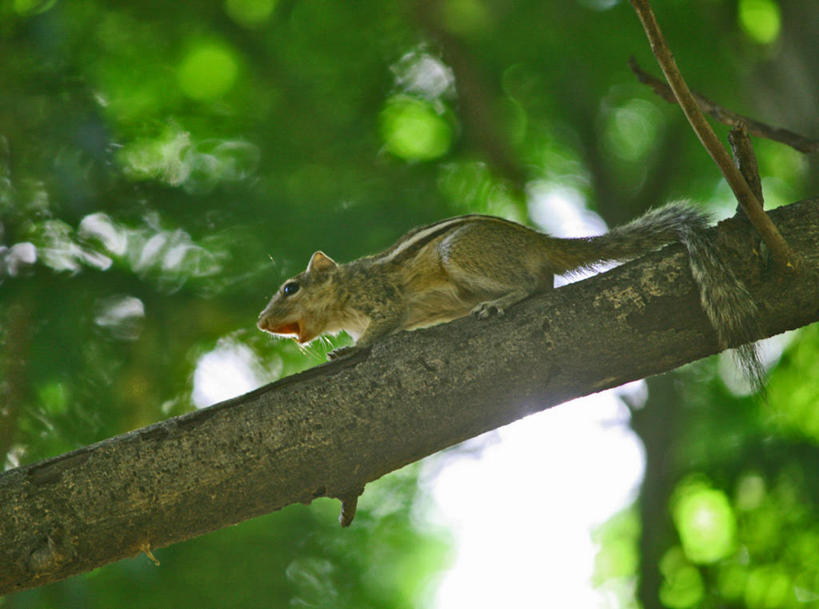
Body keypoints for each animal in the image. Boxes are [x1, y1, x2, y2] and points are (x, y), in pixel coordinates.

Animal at [260, 202, 764, 388]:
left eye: (290, 288)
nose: (262, 322)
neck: (346, 289)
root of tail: (540, 242)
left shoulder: (381, 297)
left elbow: (381, 327)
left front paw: (351, 351)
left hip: (461, 256)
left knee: (529, 285)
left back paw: (499, 302)